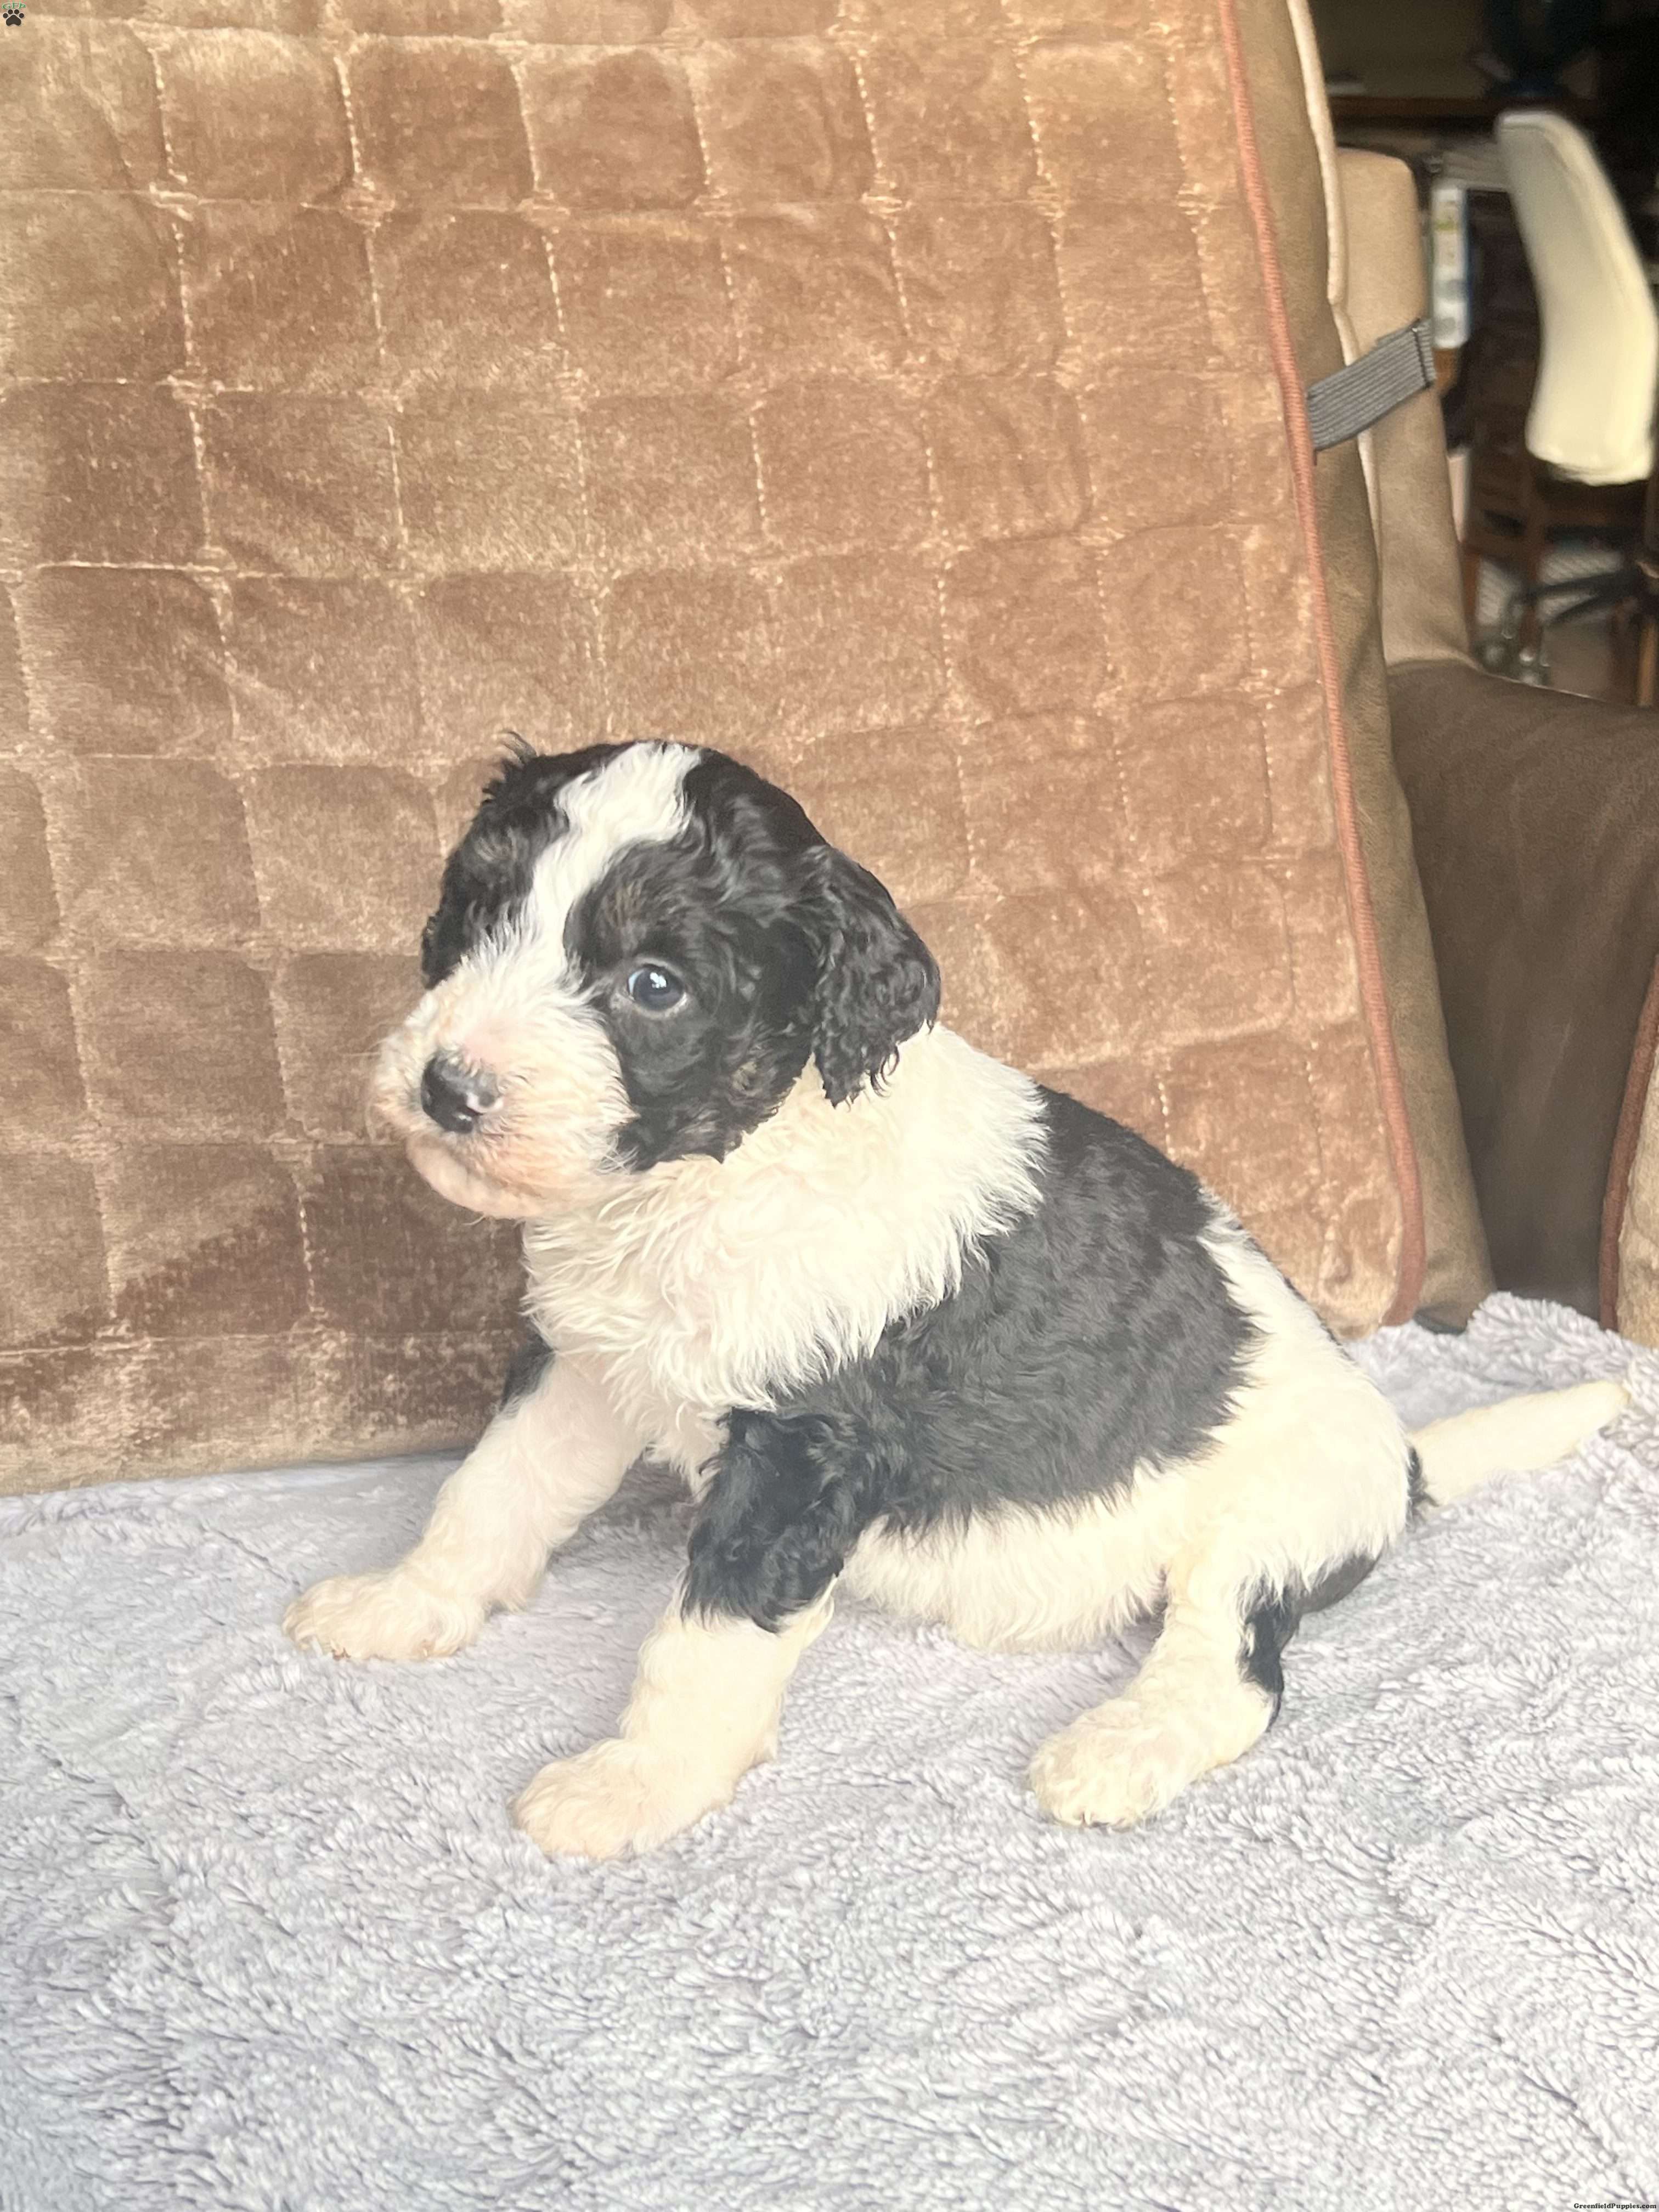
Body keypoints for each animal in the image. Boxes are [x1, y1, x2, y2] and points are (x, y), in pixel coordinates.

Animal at [284, 738, 1628, 1859]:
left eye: (654, 984)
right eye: (479, 914)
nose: (447, 1088)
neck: (718, 1172)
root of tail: (1400, 1464)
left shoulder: (800, 1450)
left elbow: (706, 1638)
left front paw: (632, 1786)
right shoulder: (585, 1362)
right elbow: (489, 1491)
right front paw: (403, 1604)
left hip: (1267, 1521)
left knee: (1232, 1673)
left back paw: (1112, 1754)